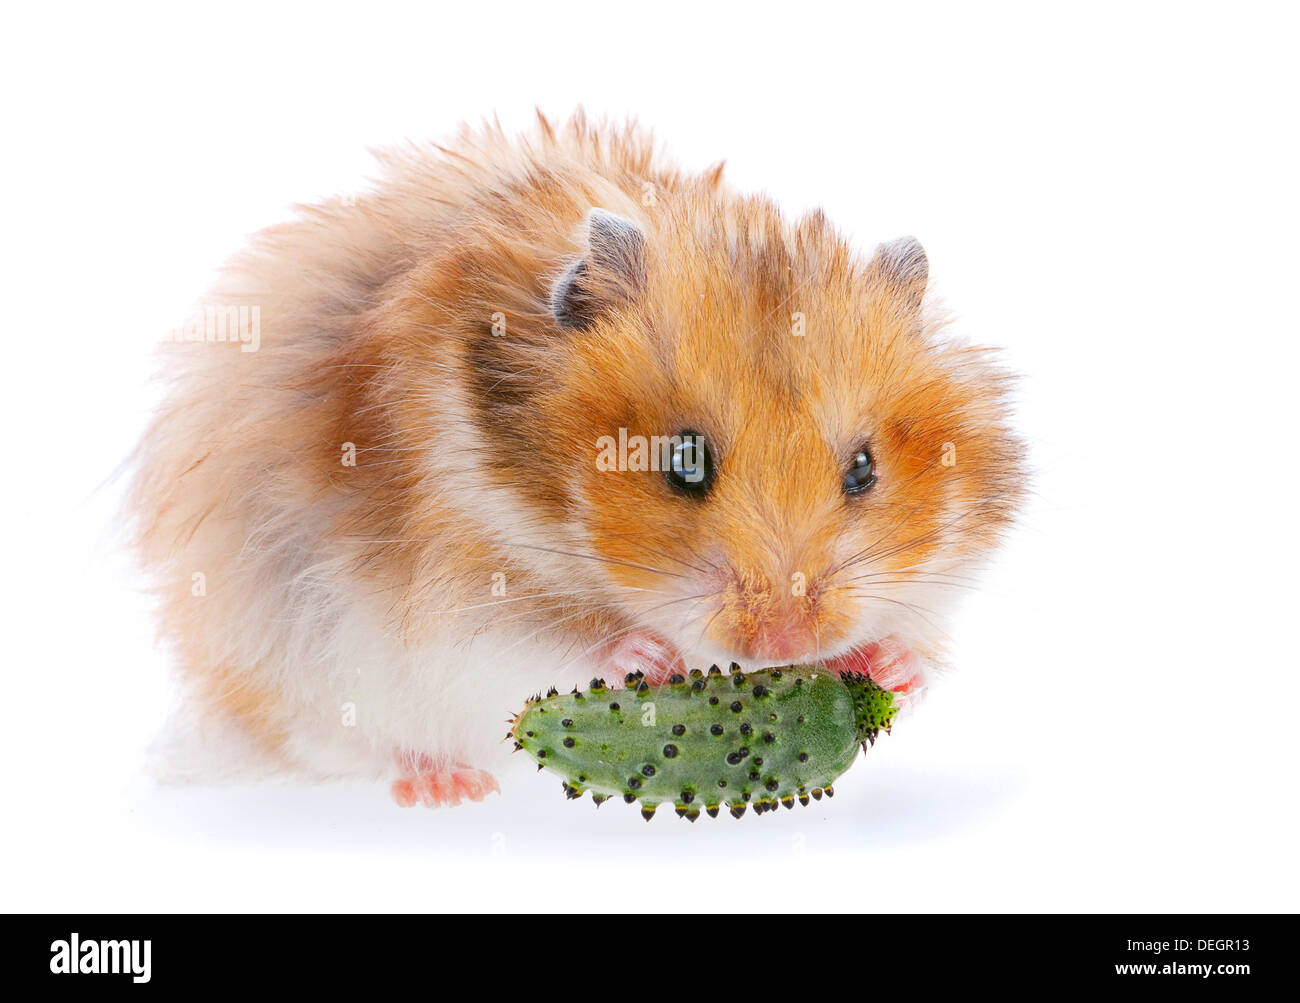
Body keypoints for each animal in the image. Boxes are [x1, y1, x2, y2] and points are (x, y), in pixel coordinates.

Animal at [129, 110, 1024, 807]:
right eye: (683, 460)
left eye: (864, 470)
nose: (782, 644)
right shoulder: (456, 597)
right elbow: (543, 641)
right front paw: (644, 657)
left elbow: (918, 640)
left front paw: (889, 663)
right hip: (293, 669)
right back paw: (447, 785)